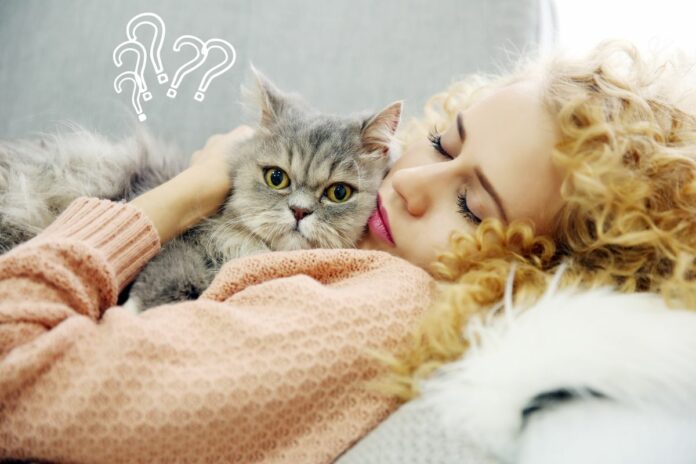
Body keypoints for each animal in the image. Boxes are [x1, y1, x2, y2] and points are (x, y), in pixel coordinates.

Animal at [0, 69, 402, 314]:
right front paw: (131, 310)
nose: (300, 212)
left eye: (338, 193)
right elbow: (169, 273)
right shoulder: (180, 243)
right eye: (277, 178)